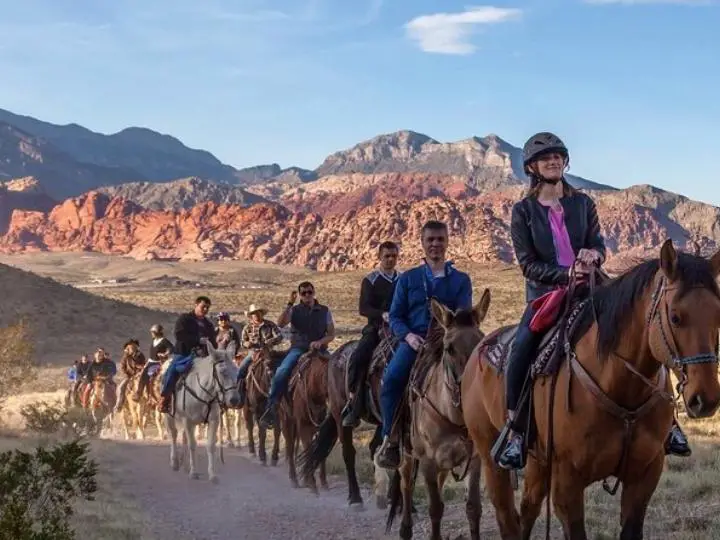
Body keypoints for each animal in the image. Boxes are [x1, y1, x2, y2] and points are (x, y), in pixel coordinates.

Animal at [165, 340, 242, 484]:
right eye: (222, 371)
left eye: (236, 371)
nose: (234, 400)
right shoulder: (188, 421)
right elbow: (192, 445)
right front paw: (193, 473)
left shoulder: (213, 420)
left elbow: (210, 445)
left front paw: (212, 474)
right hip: (168, 415)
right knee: (173, 434)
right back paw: (175, 462)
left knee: (183, 436)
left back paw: (185, 465)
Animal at [278, 348, 330, 492]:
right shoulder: (303, 427)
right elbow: (308, 449)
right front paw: (311, 482)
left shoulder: (320, 428)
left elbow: (320, 450)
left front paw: (323, 481)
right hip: (287, 422)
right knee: (290, 447)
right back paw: (293, 479)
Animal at [386, 292, 492, 540]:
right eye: (449, 348)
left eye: (481, 342)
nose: (469, 388)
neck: (453, 417)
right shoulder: (427, 462)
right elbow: (435, 508)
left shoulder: (474, 459)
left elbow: (473, 508)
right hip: (407, 455)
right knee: (406, 485)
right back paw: (405, 529)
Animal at [462, 240, 720, 540]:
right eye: (675, 317)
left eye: (718, 316)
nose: (706, 399)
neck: (621, 388)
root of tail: (478, 350)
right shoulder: (567, 484)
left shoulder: (644, 476)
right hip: (490, 456)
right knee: (506, 516)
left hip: (538, 461)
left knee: (528, 508)